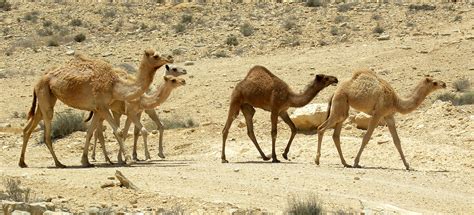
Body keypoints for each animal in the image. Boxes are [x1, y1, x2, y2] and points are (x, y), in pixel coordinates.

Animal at [20, 49, 173, 168]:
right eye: (156, 56)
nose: (170, 58)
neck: (114, 85)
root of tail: (39, 80)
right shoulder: (102, 106)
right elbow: (118, 131)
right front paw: (129, 160)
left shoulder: (99, 109)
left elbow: (89, 132)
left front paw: (85, 161)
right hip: (45, 95)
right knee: (46, 131)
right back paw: (59, 163)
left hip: (46, 98)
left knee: (28, 127)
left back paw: (22, 162)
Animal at [316, 69, 446, 170]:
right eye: (434, 83)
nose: (444, 84)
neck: (396, 102)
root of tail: (334, 92)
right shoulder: (378, 114)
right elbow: (366, 138)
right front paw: (356, 162)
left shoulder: (389, 116)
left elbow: (397, 140)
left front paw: (408, 165)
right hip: (340, 103)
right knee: (321, 128)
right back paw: (317, 160)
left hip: (343, 109)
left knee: (335, 135)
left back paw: (345, 163)